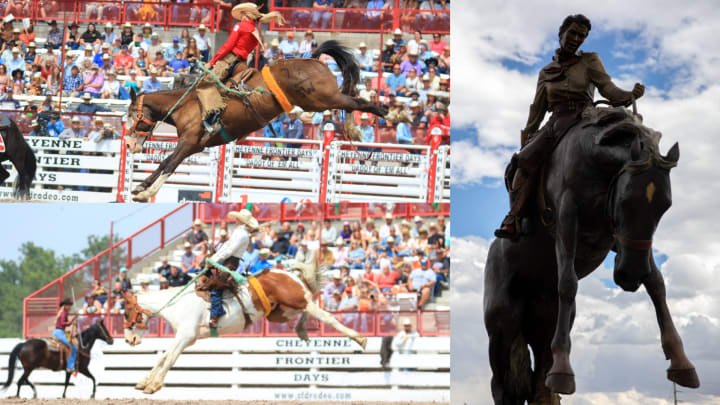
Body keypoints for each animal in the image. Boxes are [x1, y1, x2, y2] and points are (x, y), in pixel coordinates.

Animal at [484, 105, 696, 402]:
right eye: (625, 200)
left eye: (665, 205)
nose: (631, 274)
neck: (593, 158)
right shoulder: (566, 219)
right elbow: (567, 283)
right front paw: (564, 370)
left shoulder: (618, 240)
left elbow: (656, 284)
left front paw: (681, 362)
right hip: (502, 329)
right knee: (501, 386)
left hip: (540, 327)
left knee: (540, 384)